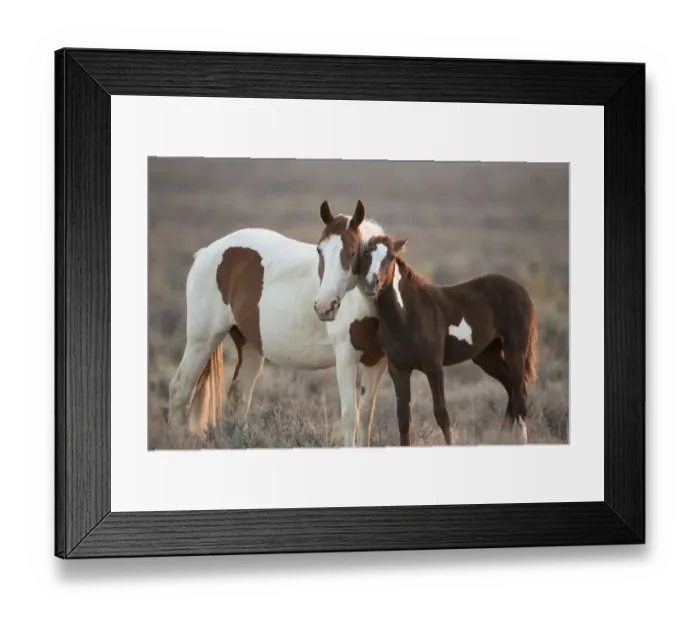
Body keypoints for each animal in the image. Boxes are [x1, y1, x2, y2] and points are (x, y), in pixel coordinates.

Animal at [167, 199, 389, 448]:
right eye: (319, 250)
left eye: (352, 252)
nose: (324, 306)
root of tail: (205, 253)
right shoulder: (346, 358)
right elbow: (351, 415)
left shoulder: (377, 362)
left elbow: (366, 415)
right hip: (202, 340)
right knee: (180, 390)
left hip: (249, 345)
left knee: (239, 394)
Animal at [356, 234, 539, 447]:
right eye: (366, 253)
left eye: (391, 257)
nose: (372, 283)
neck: (407, 314)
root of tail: (521, 290)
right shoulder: (398, 369)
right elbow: (403, 418)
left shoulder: (434, 366)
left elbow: (442, 414)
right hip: (487, 356)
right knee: (511, 389)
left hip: (515, 350)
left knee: (520, 397)